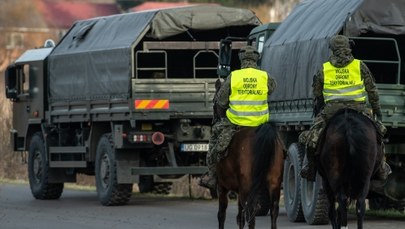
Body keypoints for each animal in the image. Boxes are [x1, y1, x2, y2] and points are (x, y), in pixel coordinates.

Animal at [211, 79, 284, 228]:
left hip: (248, 187)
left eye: (214, 101)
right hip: (274, 184)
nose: (213, 120)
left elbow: (222, 214)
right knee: (273, 211)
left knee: (251, 213)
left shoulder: (222, 187)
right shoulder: (239, 190)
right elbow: (240, 216)